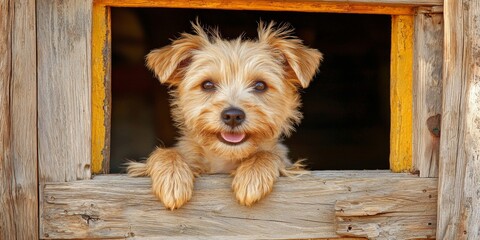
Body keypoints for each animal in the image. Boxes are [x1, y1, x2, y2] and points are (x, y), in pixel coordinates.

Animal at [127, 20, 322, 209]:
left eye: (260, 85)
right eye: (207, 85)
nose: (233, 116)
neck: (225, 158)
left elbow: (269, 154)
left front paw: (252, 174)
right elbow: (166, 152)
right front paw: (172, 177)